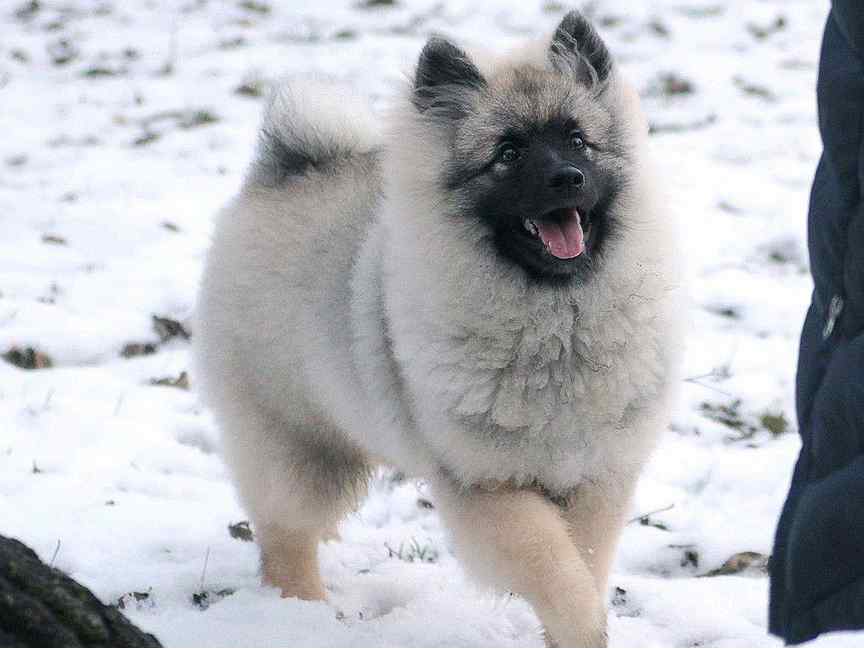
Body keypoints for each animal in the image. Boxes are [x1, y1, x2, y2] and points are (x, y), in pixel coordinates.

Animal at [194, 10, 680, 648]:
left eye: (578, 140)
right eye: (508, 153)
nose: (568, 177)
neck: (556, 323)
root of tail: (287, 171)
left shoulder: (599, 474)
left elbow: (585, 559)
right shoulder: (487, 486)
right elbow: (554, 564)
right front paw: (582, 624)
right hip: (296, 442)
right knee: (284, 534)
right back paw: (299, 613)